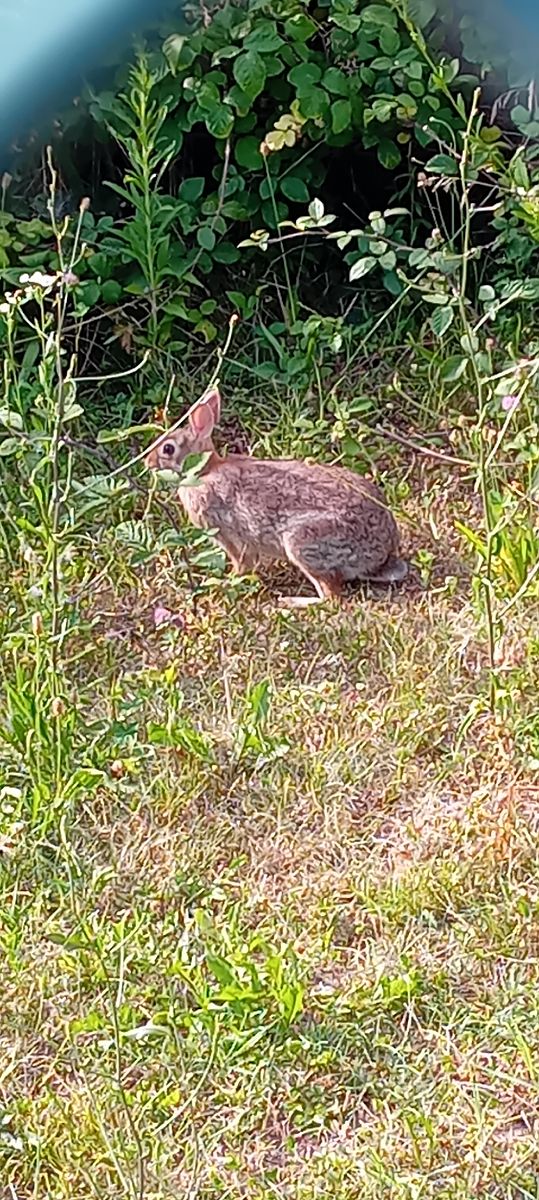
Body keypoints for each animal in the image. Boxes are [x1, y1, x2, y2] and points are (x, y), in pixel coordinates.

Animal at [145, 387, 407, 605]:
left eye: (167, 449)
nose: (148, 462)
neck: (203, 471)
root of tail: (381, 553)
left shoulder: (228, 534)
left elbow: (242, 564)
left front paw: (225, 582)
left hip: (302, 543)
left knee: (331, 597)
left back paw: (291, 602)